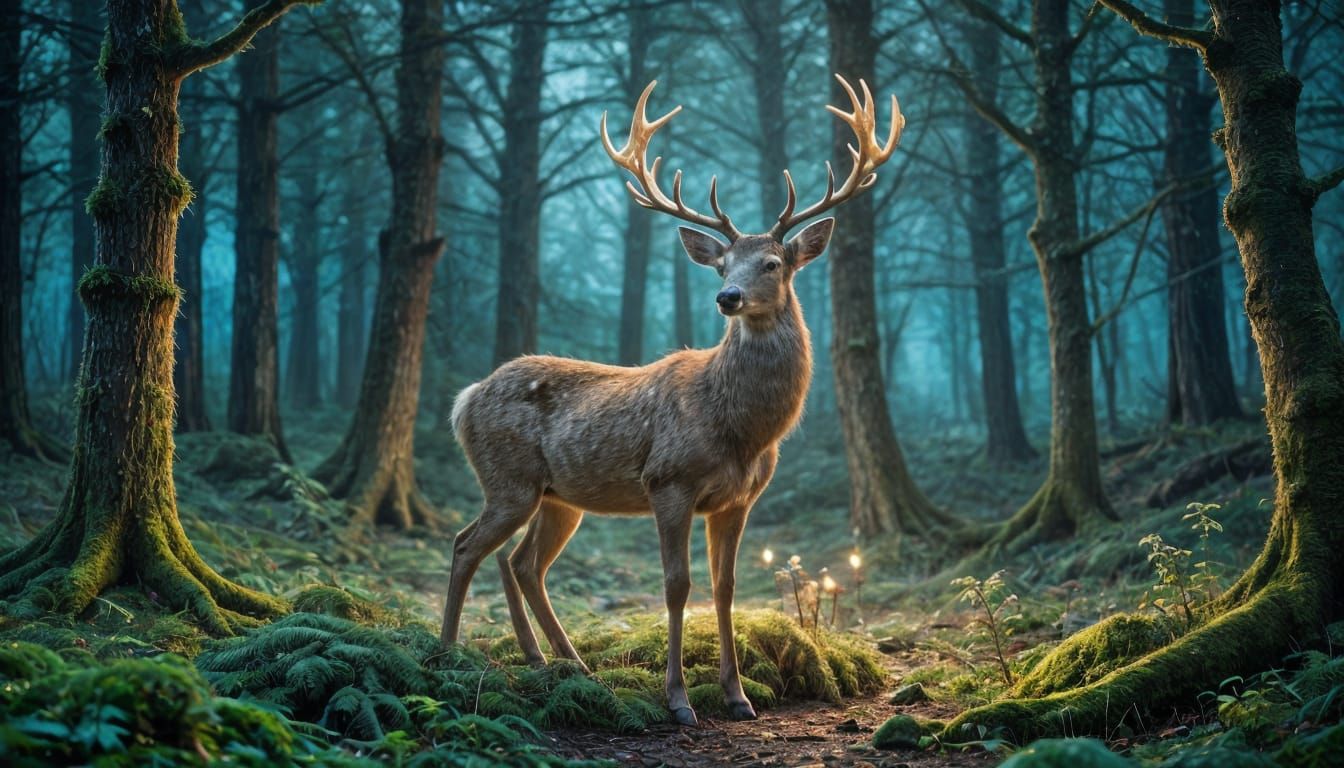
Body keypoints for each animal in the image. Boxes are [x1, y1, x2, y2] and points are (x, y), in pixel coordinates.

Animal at [440, 74, 904, 727]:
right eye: (722, 264)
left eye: (771, 262)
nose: (728, 297)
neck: (741, 430)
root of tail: (464, 401)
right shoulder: (669, 480)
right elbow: (676, 585)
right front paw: (679, 701)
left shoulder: (738, 499)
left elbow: (725, 588)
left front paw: (737, 697)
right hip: (508, 478)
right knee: (467, 546)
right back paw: (447, 652)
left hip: (558, 496)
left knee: (521, 562)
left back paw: (560, 662)